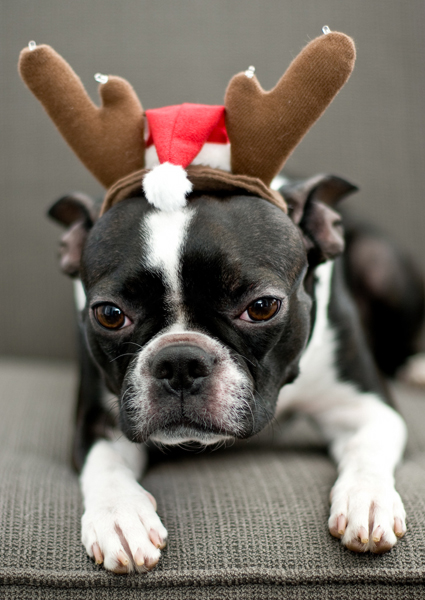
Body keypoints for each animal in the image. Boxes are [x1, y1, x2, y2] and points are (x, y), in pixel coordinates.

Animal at [47, 171, 414, 576]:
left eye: (262, 307)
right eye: (110, 314)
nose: (180, 362)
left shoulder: (367, 409)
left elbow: (368, 449)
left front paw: (368, 501)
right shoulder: (100, 418)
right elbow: (105, 464)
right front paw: (120, 516)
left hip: (380, 263)